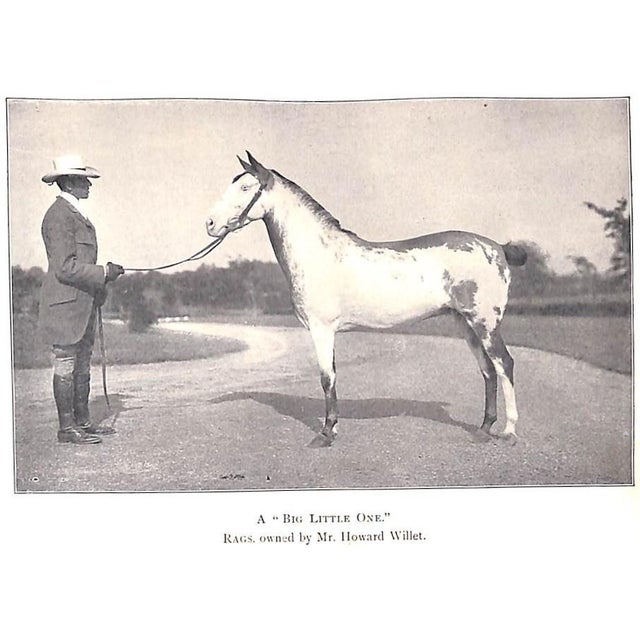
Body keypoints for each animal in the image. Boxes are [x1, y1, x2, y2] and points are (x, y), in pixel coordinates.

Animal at [206, 152, 527, 447]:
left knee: (504, 364)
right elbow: (331, 377)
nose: (210, 223)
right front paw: (332, 429)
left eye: (245, 187)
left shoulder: (322, 329)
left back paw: (509, 431)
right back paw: (483, 429)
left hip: (485, 323)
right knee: (487, 370)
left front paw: (326, 433)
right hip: (465, 324)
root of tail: (497, 247)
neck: (318, 252)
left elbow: (327, 378)